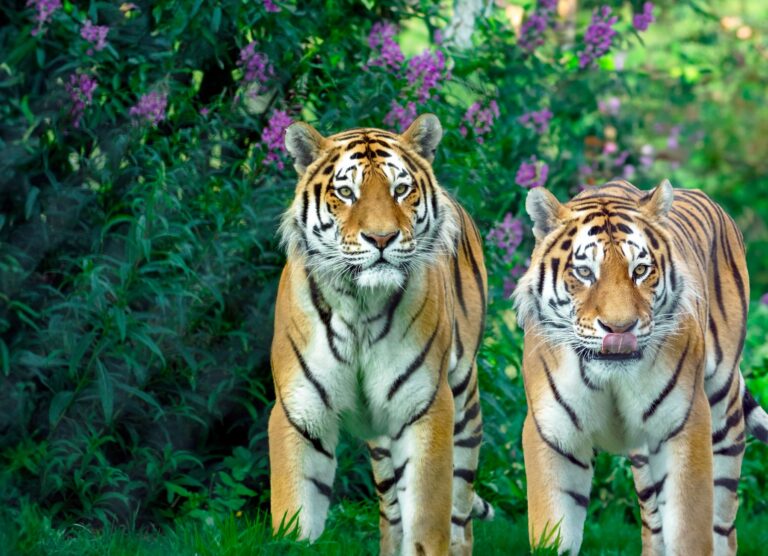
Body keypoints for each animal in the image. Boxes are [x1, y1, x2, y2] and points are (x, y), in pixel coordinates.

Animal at [268, 114, 493, 555]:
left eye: (400, 190)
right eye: (345, 192)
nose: (382, 238)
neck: (359, 304)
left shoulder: (425, 407)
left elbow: (426, 521)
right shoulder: (298, 411)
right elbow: (295, 513)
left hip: (464, 404)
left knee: (460, 513)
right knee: (391, 511)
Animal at [512, 179, 768, 555]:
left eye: (640, 270)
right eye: (584, 272)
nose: (619, 329)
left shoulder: (683, 424)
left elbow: (688, 530)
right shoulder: (554, 435)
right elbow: (553, 532)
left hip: (723, 411)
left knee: (723, 518)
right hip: (643, 454)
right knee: (653, 521)